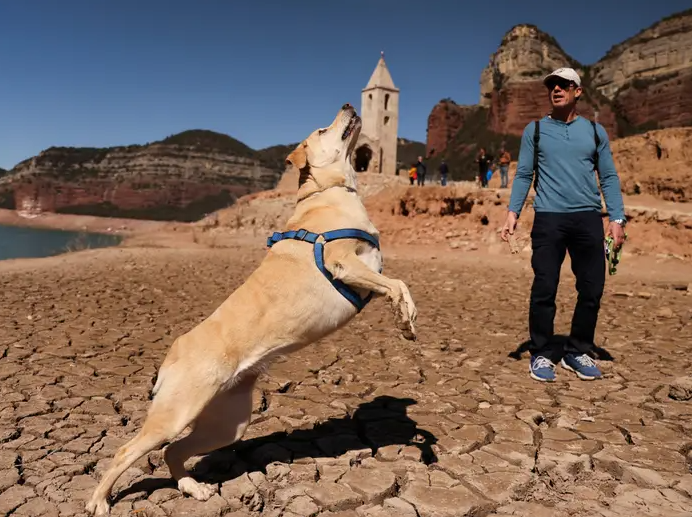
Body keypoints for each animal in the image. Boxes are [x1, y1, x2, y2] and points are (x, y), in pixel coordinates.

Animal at [86, 102, 416, 512]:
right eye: (323, 130)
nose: (348, 105)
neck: (329, 192)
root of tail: (172, 354)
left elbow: (400, 285)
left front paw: (405, 320)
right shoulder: (343, 263)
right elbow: (397, 284)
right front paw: (406, 318)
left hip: (228, 423)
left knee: (172, 452)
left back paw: (193, 488)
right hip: (176, 415)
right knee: (127, 451)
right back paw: (99, 501)